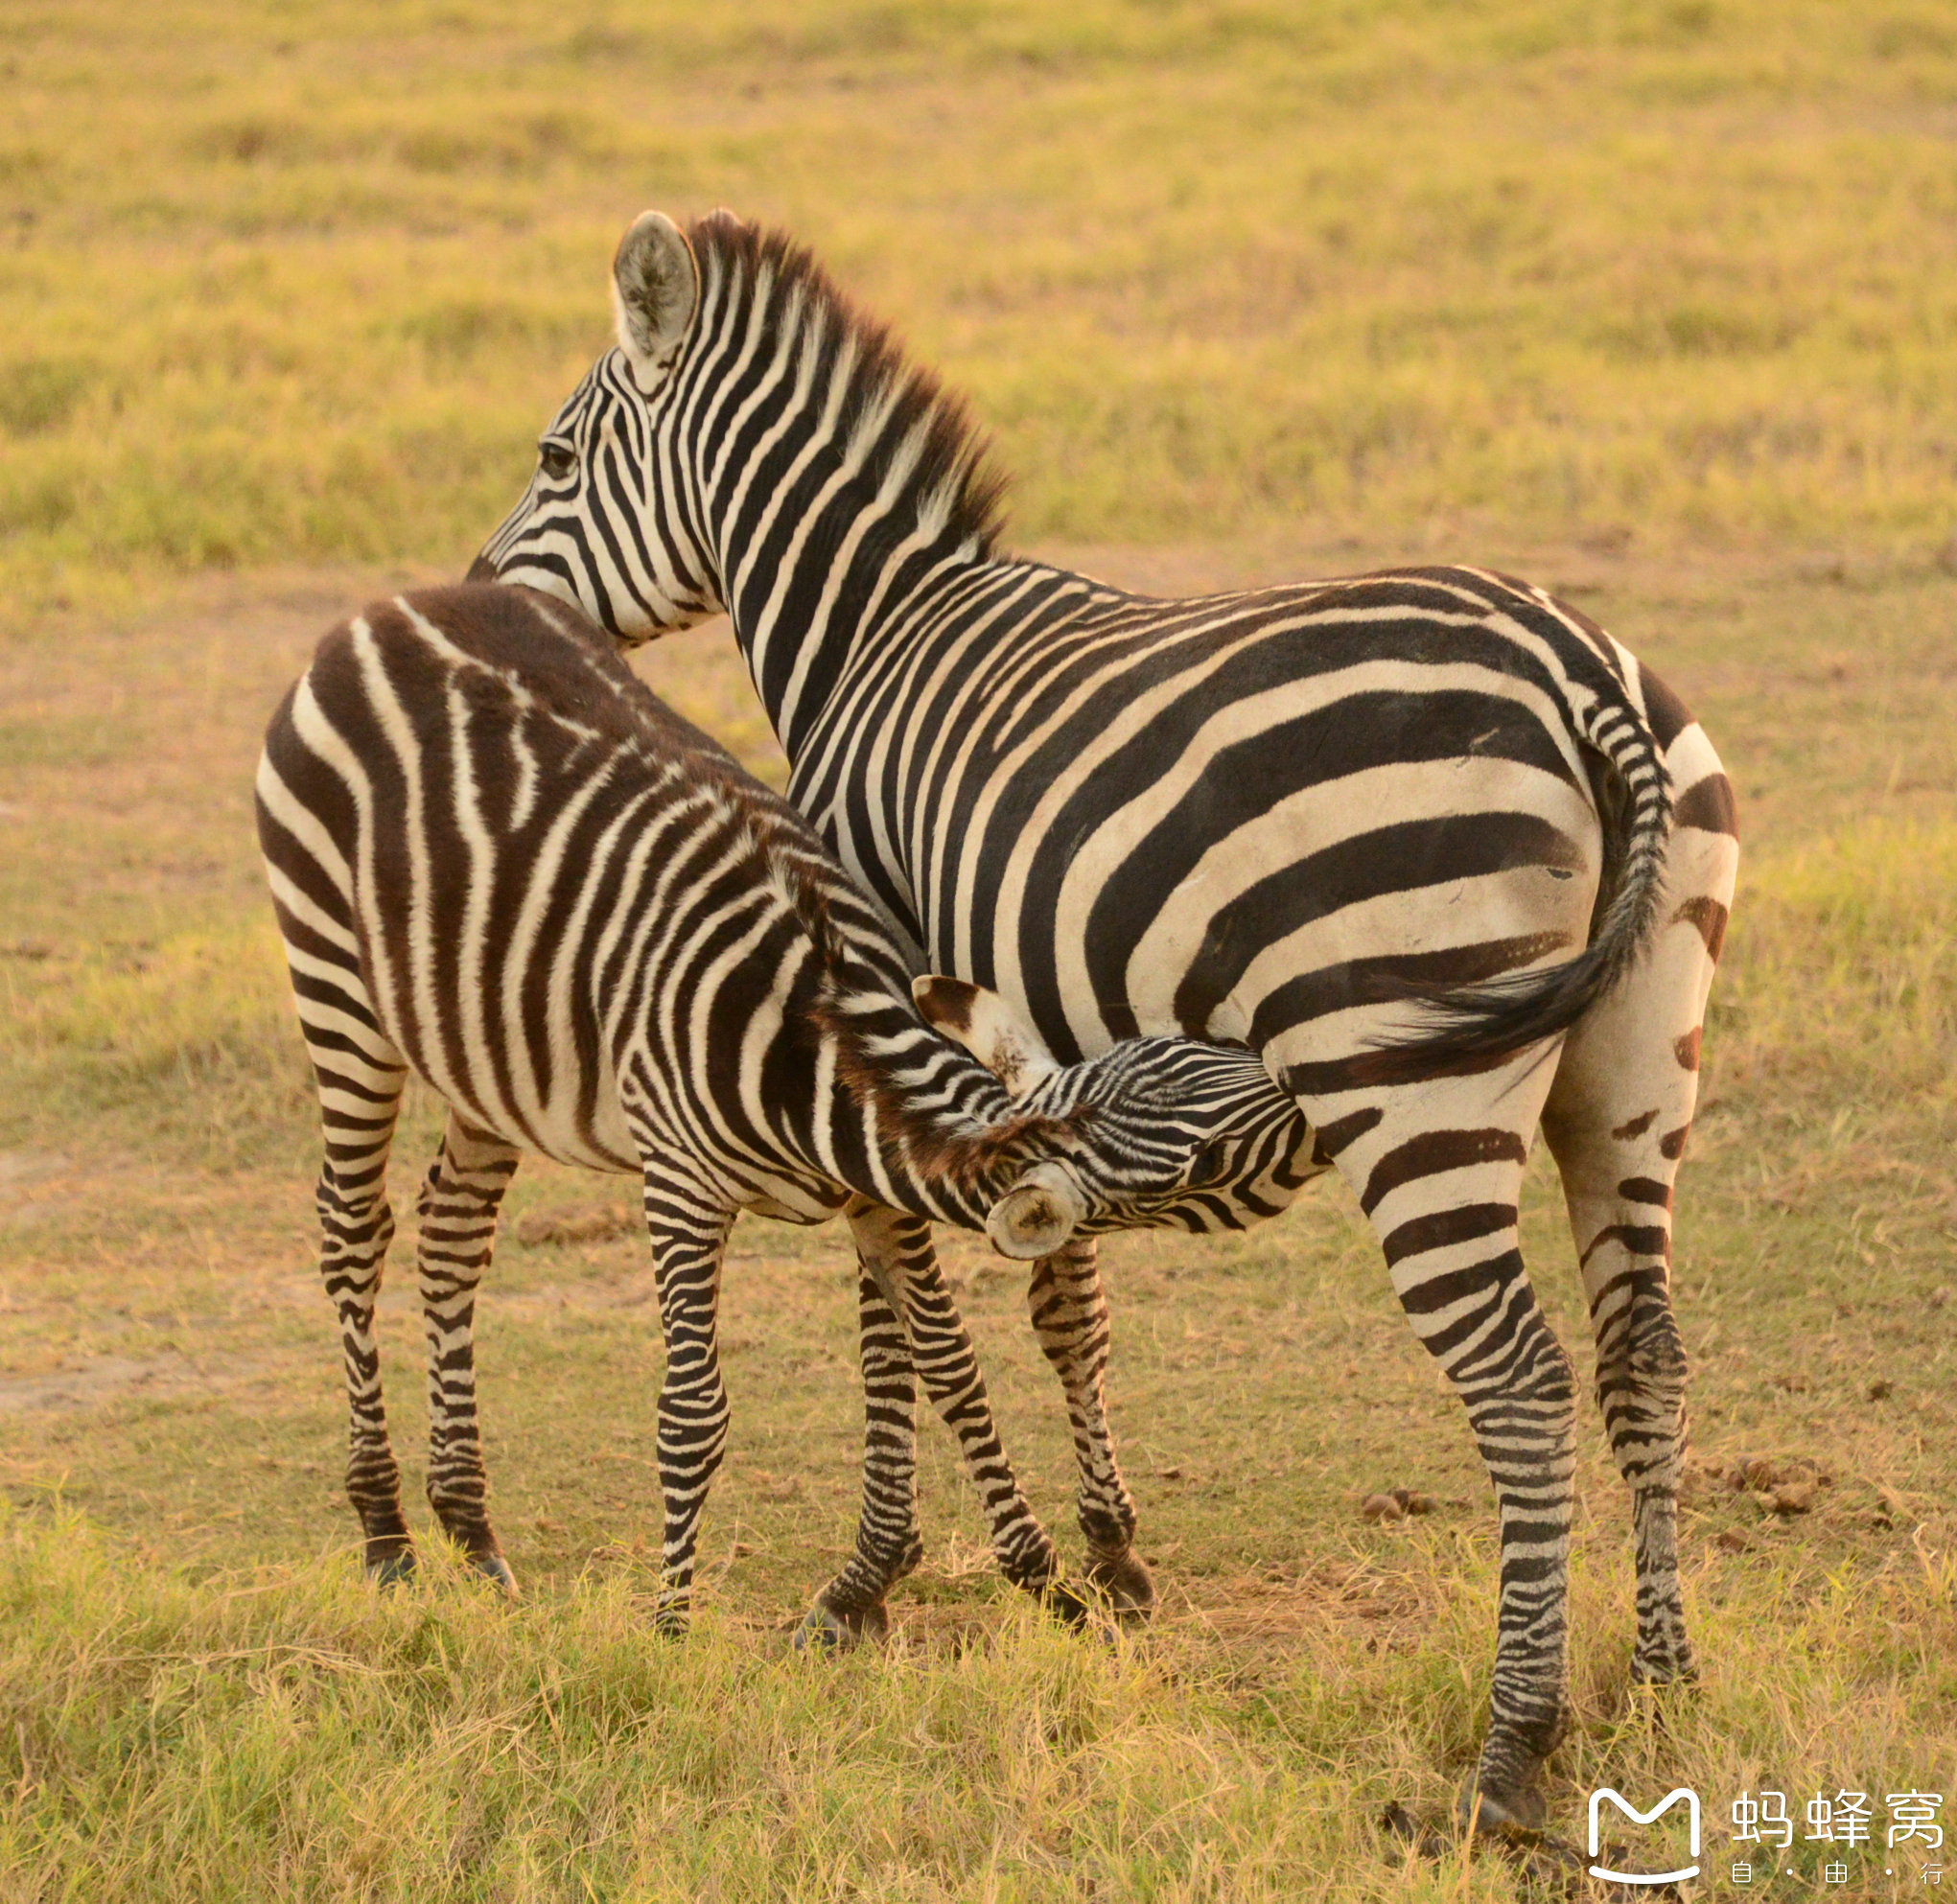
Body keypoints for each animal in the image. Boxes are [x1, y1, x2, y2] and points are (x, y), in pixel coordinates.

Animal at [256, 583, 1299, 1636]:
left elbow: (951, 1367)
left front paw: (1043, 1580)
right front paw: (671, 1627)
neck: (821, 1050)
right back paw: (386, 1535)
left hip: (485, 1051)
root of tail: (400, 604)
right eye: (1205, 1160)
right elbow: (692, 1411)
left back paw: (470, 1534)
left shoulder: (881, 1199)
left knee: (451, 1232)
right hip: (336, 992)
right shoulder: (679, 1187)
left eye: (1200, 1051)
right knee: (352, 1233)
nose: (1302, 1085)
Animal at [469, 211, 1745, 1831]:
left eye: (556, 454)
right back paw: (1662, 1680)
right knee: (1646, 1352)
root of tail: (1578, 670)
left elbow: (897, 1306)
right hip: (1634, 1057)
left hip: (1407, 1070)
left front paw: (870, 1579)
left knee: (1518, 1381)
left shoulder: (875, 1006)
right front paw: (1114, 1550)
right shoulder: (1029, 1031)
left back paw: (1511, 1750)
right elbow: (1061, 1290)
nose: (481, 600)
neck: (868, 634)